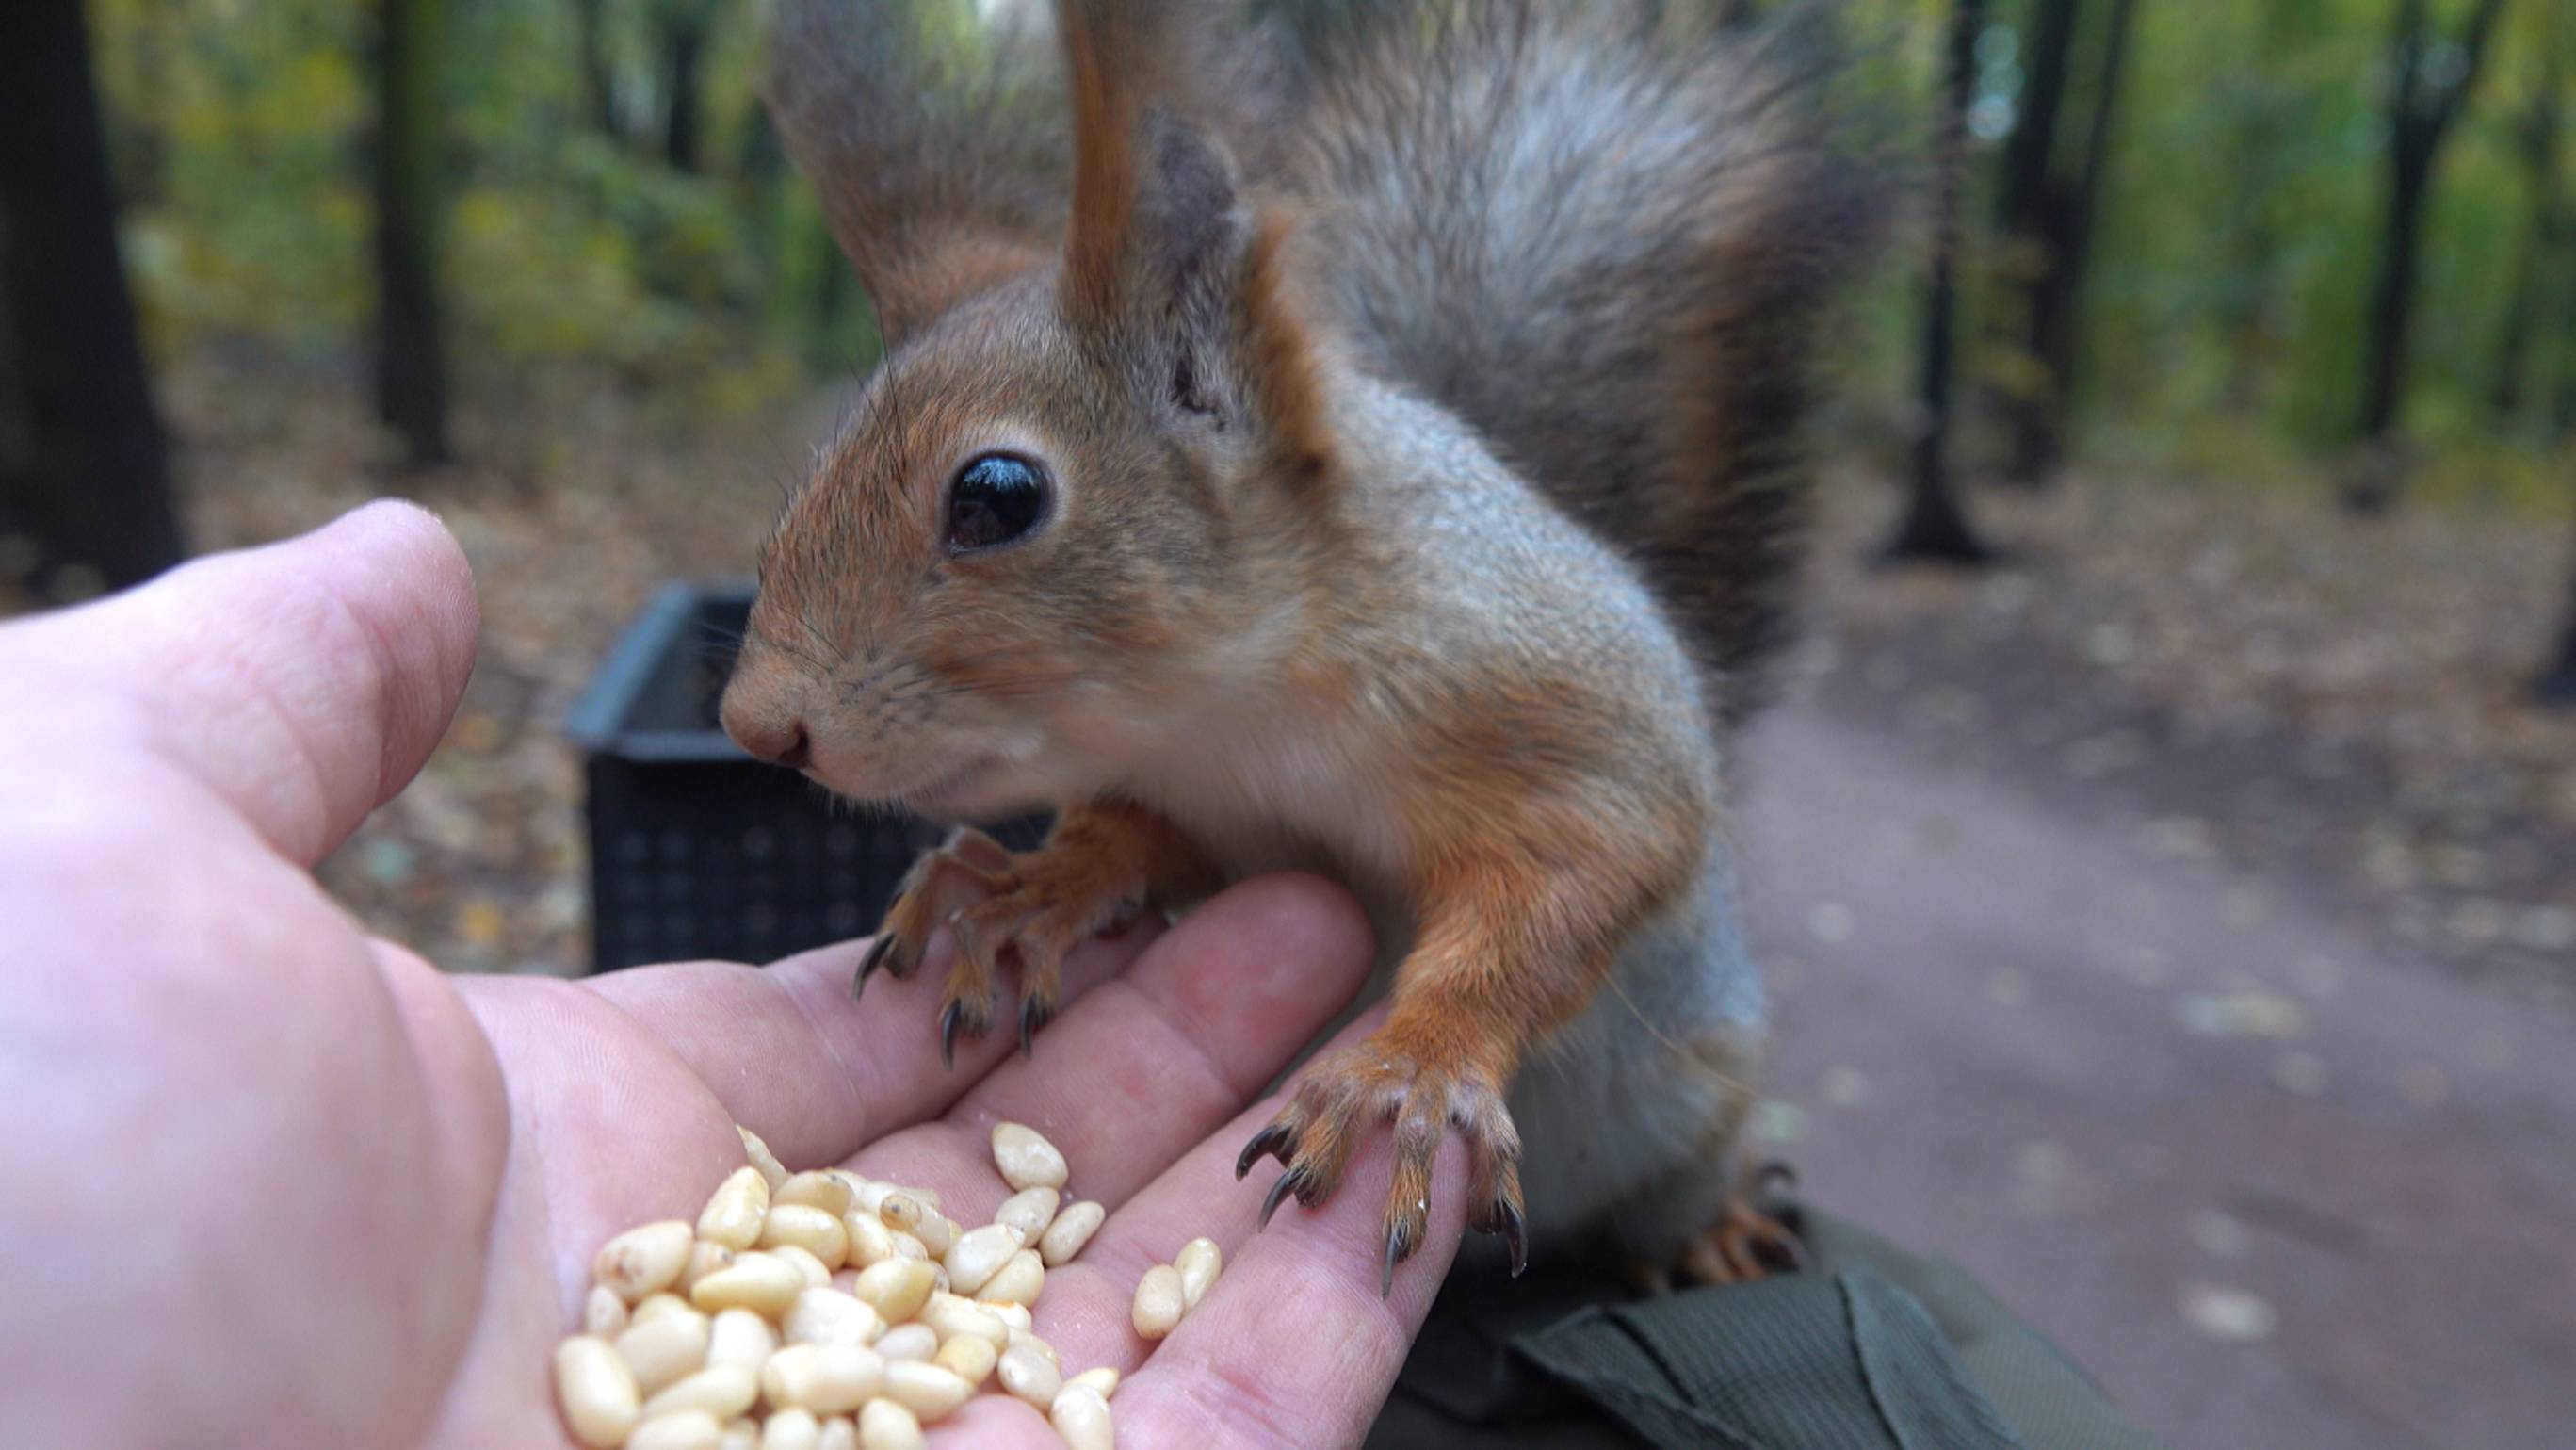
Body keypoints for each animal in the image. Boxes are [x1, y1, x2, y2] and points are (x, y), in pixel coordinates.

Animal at [716, 0, 1886, 1293]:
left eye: (995, 495)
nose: (757, 725)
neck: (1229, 719)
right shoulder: (1190, 797)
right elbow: (1137, 842)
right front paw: (1026, 889)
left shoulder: (1567, 711)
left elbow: (1573, 879)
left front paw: (1411, 1070)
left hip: (1698, 1098)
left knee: (1674, 1190)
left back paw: (1720, 1226)